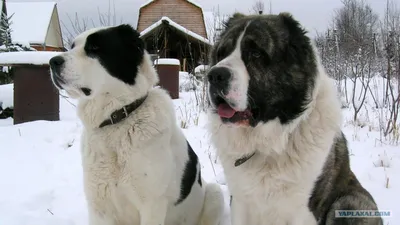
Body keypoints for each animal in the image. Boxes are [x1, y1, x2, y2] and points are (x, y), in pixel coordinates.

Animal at [48, 24, 223, 225]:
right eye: (72, 46)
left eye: (94, 48)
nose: (52, 61)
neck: (117, 119)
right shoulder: (99, 206)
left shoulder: (151, 205)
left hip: (215, 193)